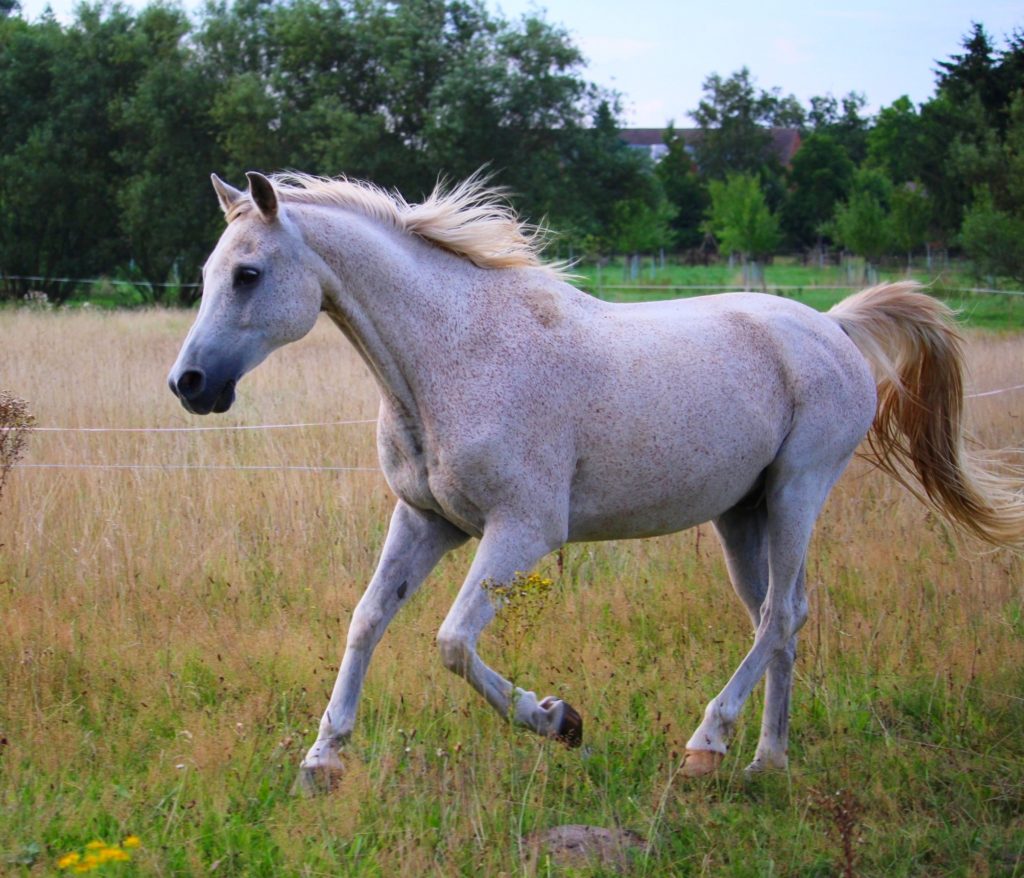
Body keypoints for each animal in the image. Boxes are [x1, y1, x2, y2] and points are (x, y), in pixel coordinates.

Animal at [169, 171, 1024, 786]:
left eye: (248, 274)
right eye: (210, 272)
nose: (189, 384)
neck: (452, 354)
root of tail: (834, 327)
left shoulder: (522, 531)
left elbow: (451, 642)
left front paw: (558, 720)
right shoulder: (425, 520)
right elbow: (367, 619)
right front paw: (323, 759)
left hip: (797, 491)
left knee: (780, 615)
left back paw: (707, 743)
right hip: (741, 514)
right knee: (779, 618)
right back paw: (765, 762)